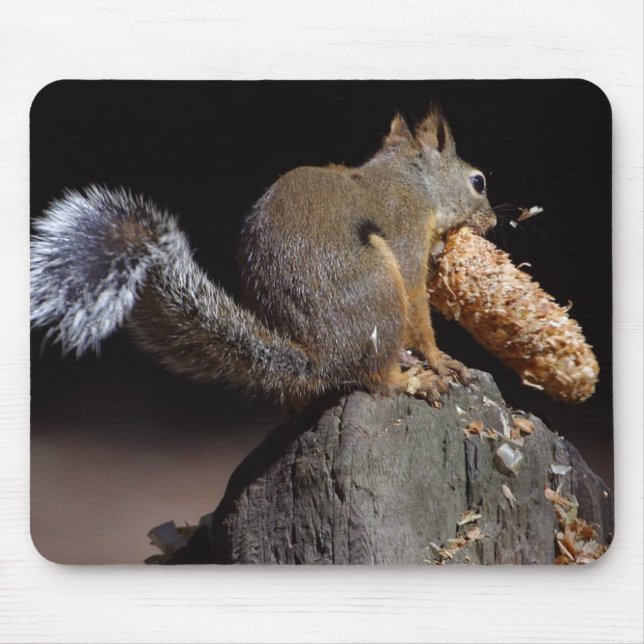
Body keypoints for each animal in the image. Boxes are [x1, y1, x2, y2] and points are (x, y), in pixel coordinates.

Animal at [30, 106, 496, 408]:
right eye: (479, 182)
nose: (492, 221)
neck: (411, 180)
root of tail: (323, 361)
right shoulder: (404, 230)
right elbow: (419, 308)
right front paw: (439, 359)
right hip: (380, 290)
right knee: (376, 378)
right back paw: (409, 379)